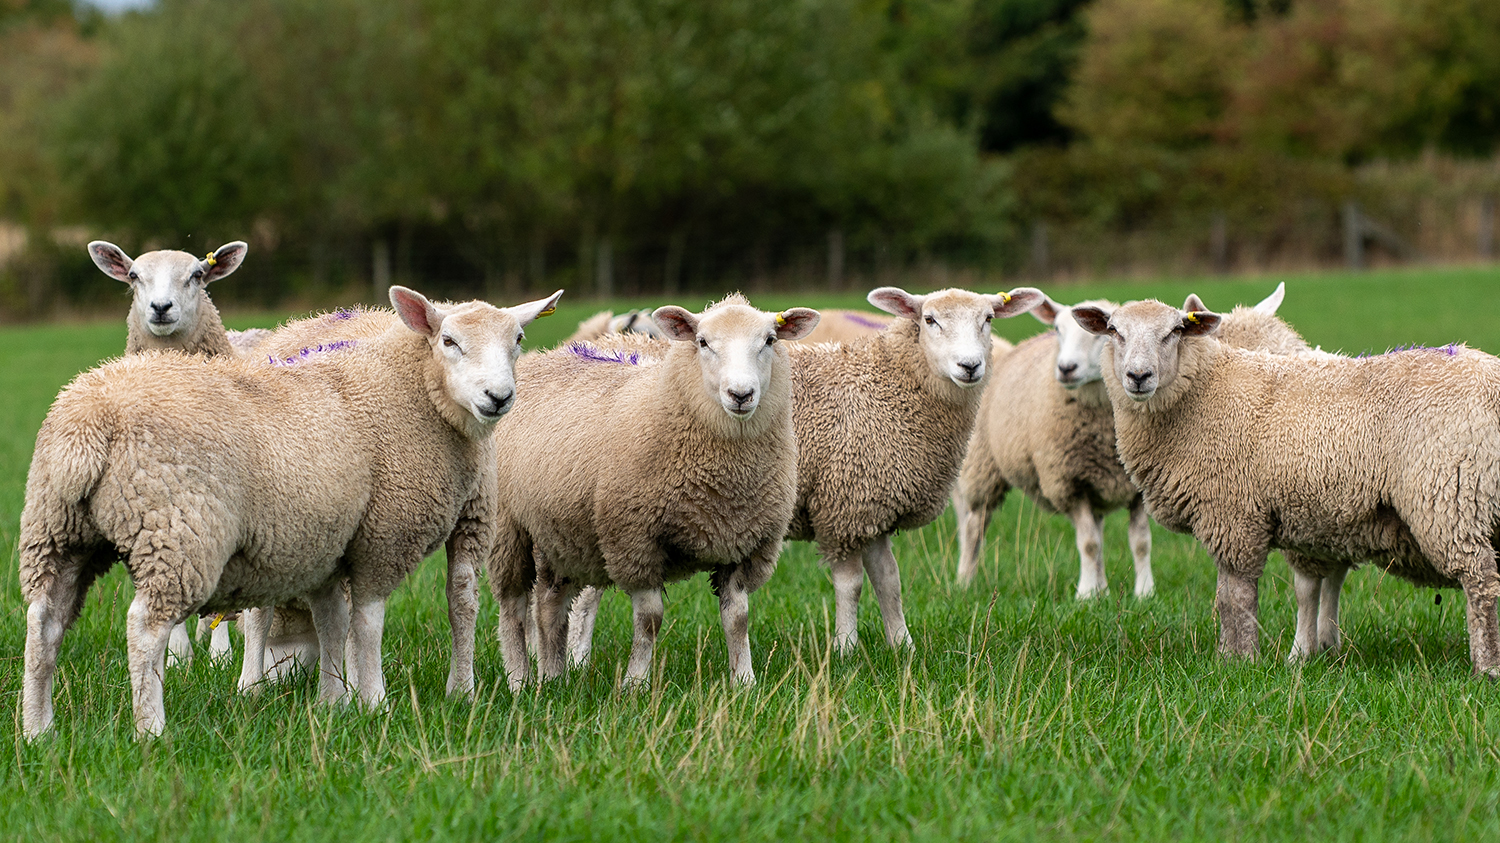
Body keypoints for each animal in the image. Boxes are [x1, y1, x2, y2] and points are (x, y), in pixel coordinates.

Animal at [19, 285, 562, 738]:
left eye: (518, 339)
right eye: (448, 340)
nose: (499, 397)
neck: (409, 391)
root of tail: (89, 426)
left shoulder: (329, 541)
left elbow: (334, 620)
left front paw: (334, 702)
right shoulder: (385, 535)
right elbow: (371, 623)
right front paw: (377, 701)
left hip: (57, 529)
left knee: (44, 621)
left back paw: (38, 730)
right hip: (178, 532)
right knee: (145, 629)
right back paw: (151, 731)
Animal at [486, 294, 820, 690]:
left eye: (770, 340)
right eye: (702, 342)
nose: (741, 395)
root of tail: (547, 357)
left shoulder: (745, 546)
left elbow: (738, 619)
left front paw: (745, 682)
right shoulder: (635, 541)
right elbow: (649, 620)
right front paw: (636, 684)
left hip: (561, 535)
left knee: (550, 605)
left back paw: (553, 679)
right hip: (509, 529)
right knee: (513, 609)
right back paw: (518, 681)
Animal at [953, 283, 1298, 598]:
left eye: (1173, 332)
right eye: (1057, 330)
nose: (1065, 369)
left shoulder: (1135, 488)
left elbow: (1140, 543)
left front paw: (1143, 592)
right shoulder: (1071, 484)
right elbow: (1089, 544)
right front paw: (1086, 596)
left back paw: (1102, 587)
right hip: (982, 468)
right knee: (973, 527)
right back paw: (966, 583)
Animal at [1070, 298, 1500, 676]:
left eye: (1175, 331)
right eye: (1114, 331)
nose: (1138, 377)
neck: (1203, 392)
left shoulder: (1235, 516)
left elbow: (1237, 597)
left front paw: (1242, 661)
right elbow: (1237, 595)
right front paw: (1235, 657)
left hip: (1448, 497)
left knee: (1480, 581)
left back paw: (1486, 669)